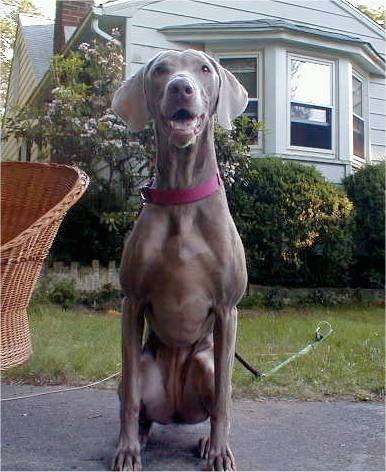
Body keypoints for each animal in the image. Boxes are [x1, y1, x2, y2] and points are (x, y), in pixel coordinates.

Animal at [110, 49, 249, 470]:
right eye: (160, 70)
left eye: (203, 69)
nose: (181, 87)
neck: (183, 197)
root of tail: (173, 410)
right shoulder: (132, 301)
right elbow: (129, 397)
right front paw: (126, 451)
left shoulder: (227, 309)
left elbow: (224, 398)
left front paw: (219, 452)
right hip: (143, 366)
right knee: (138, 403)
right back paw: (138, 438)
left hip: (204, 361)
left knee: (216, 395)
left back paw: (206, 443)